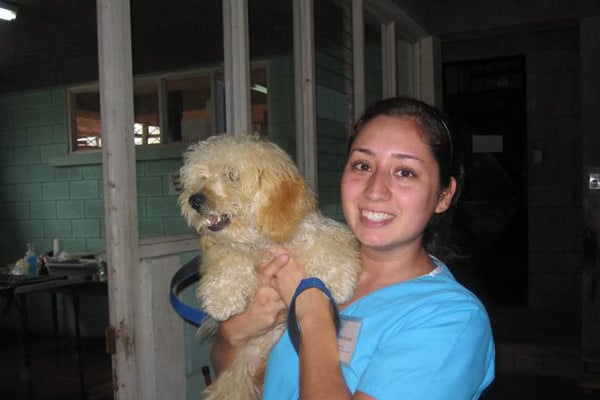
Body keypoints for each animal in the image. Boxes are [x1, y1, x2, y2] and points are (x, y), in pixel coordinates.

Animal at [176, 134, 358, 400]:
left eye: (232, 175)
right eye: (200, 177)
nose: (194, 200)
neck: (262, 242)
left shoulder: (319, 231)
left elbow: (326, 246)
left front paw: (337, 281)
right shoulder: (224, 251)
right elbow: (230, 259)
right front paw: (222, 297)